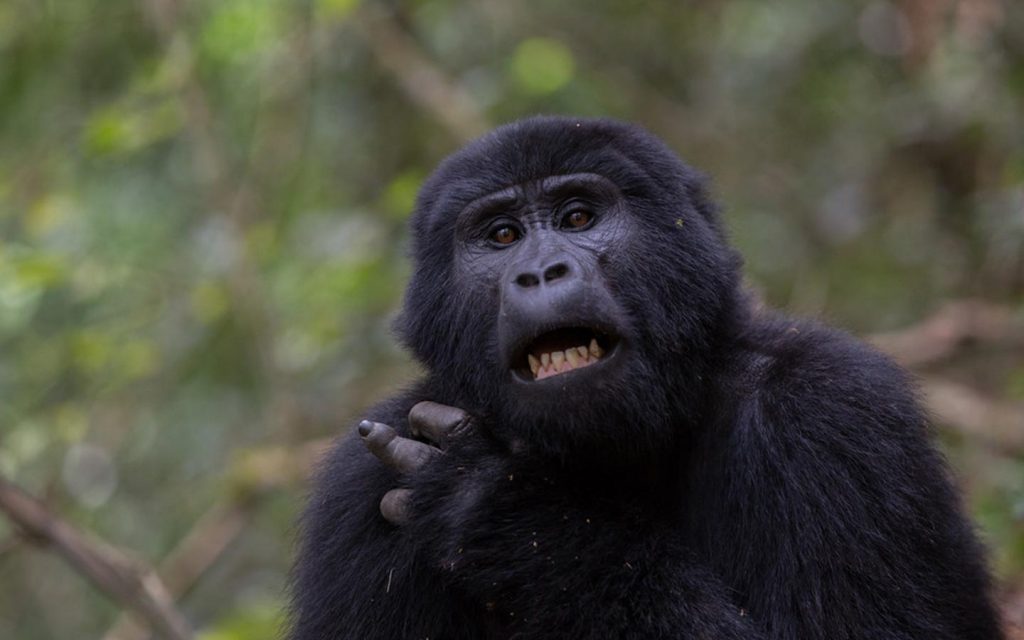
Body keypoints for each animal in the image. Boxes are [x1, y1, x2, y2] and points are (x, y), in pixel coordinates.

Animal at [288, 116, 999, 638]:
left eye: (578, 217)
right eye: (503, 235)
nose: (540, 272)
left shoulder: (832, 409)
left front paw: (510, 508)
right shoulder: (358, 490)